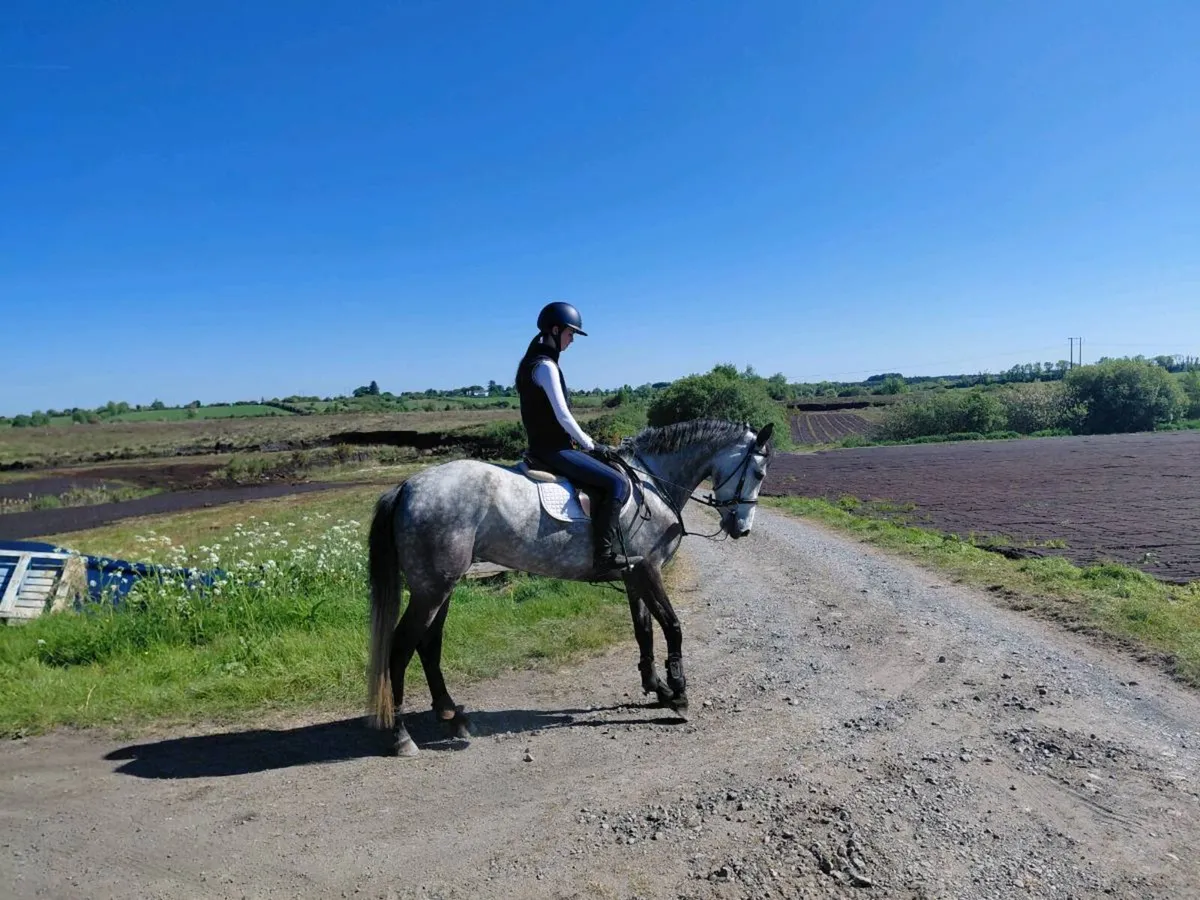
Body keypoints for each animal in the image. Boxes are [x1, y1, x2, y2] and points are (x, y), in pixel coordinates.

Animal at [366, 418, 776, 756]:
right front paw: (678, 693)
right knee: (400, 650)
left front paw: (656, 687)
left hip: (440, 587)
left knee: (428, 645)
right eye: (758, 471)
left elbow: (643, 630)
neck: (652, 482)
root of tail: (407, 487)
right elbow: (672, 627)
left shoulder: (634, 576)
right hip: (431, 590)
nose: (742, 529)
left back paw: (452, 716)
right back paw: (402, 736)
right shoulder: (650, 570)